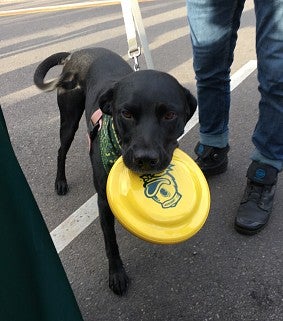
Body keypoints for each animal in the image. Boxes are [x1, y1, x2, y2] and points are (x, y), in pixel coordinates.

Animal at [33, 47, 197, 296]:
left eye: (169, 115)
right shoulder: (103, 201)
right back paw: (60, 182)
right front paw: (117, 274)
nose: (145, 159)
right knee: (61, 150)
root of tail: (75, 53)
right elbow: (110, 241)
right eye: (126, 114)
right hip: (68, 119)